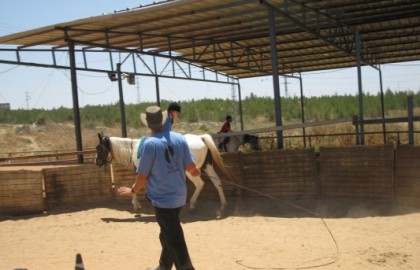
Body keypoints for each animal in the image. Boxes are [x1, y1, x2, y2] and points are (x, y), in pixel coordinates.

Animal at [95, 133, 238, 211]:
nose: (96, 162)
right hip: (207, 166)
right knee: (217, 183)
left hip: (191, 171)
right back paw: (223, 205)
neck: (134, 149)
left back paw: (192, 205)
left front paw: (136, 205)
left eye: (98, 148)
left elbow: (135, 186)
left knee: (200, 184)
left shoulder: (142, 173)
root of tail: (200, 138)